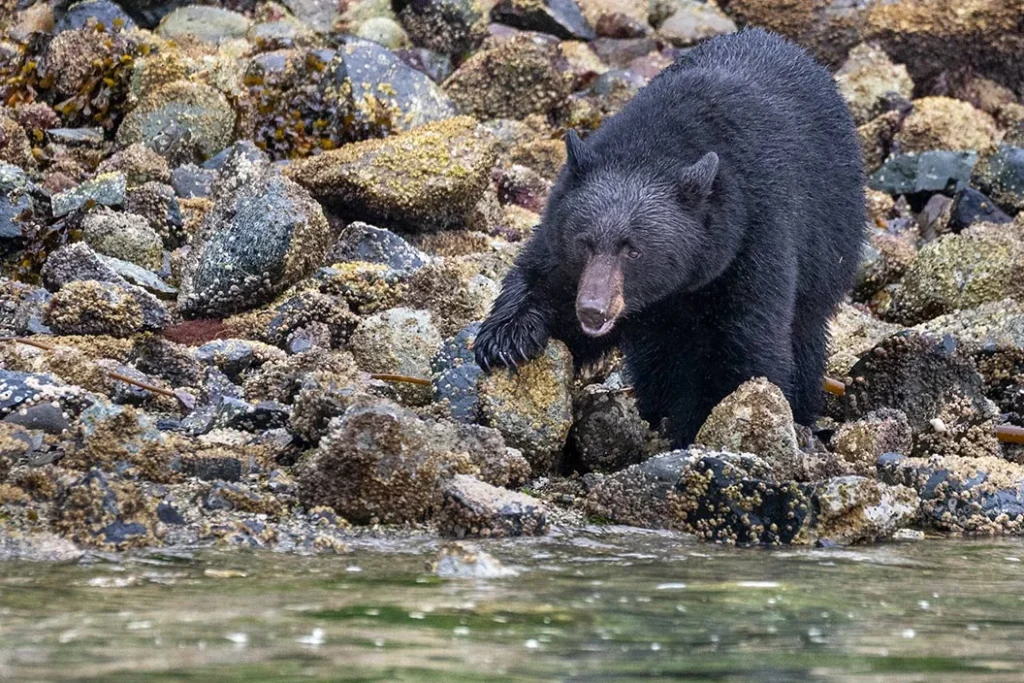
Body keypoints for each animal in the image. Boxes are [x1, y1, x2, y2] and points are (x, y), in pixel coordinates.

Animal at [473, 28, 866, 450]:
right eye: (585, 242)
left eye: (633, 250)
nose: (593, 310)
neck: (657, 148)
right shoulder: (562, 237)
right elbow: (544, 280)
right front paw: (506, 341)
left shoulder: (755, 235)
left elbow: (746, 344)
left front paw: (712, 424)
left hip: (828, 246)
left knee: (805, 332)